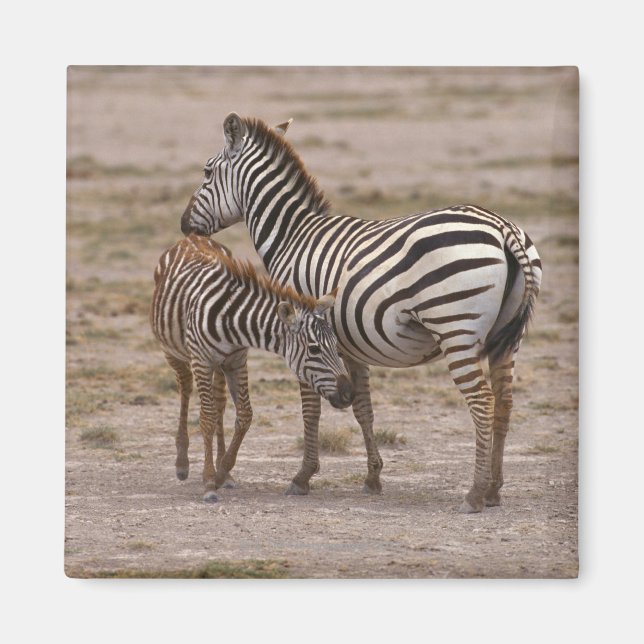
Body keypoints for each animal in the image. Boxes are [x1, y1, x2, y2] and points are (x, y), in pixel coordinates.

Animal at [150, 233, 354, 502]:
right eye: (314, 349)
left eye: (335, 345)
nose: (348, 394)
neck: (230, 318)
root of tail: (192, 237)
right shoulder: (202, 361)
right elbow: (206, 417)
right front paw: (209, 481)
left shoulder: (237, 360)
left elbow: (244, 414)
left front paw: (222, 472)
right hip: (172, 351)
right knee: (185, 388)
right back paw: (182, 463)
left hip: (220, 365)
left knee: (219, 404)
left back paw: (223, 471)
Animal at [180, 113, 543, 513]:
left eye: (206, 172)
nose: (184, 225)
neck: (292, 236)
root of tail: (502, 227)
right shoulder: (349, 344)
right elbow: (362, 407)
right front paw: (373, 477)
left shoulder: (302, 334)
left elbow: (311, 408)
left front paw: (302, 477)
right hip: (506, 338)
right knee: (505, 404)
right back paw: (493, 490)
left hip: (455, 329)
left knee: (482, 402)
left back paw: (475, 494)